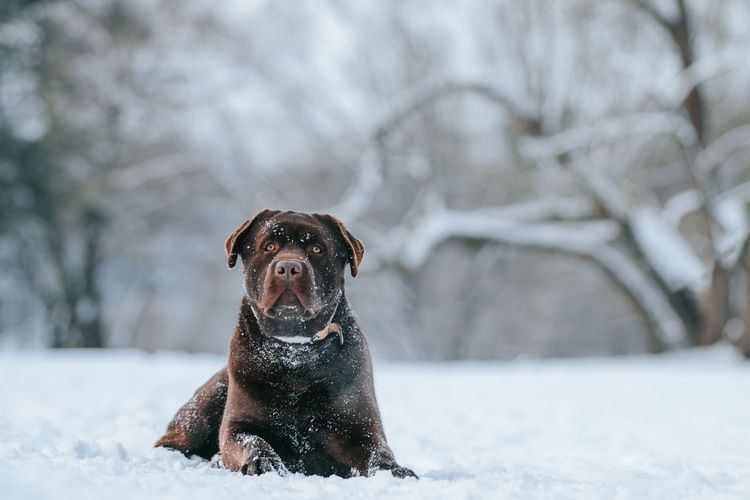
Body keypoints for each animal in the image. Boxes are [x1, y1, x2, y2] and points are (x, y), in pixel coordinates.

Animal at [157, 209, 418, 478]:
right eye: (269, 246)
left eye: (316, 249)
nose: (289, 267)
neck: (294, 351)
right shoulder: (237, 425)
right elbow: (252, 440)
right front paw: (263, 462)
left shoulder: (358, 427)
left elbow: (378, 451)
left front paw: (394, 470)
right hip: (208, 402)